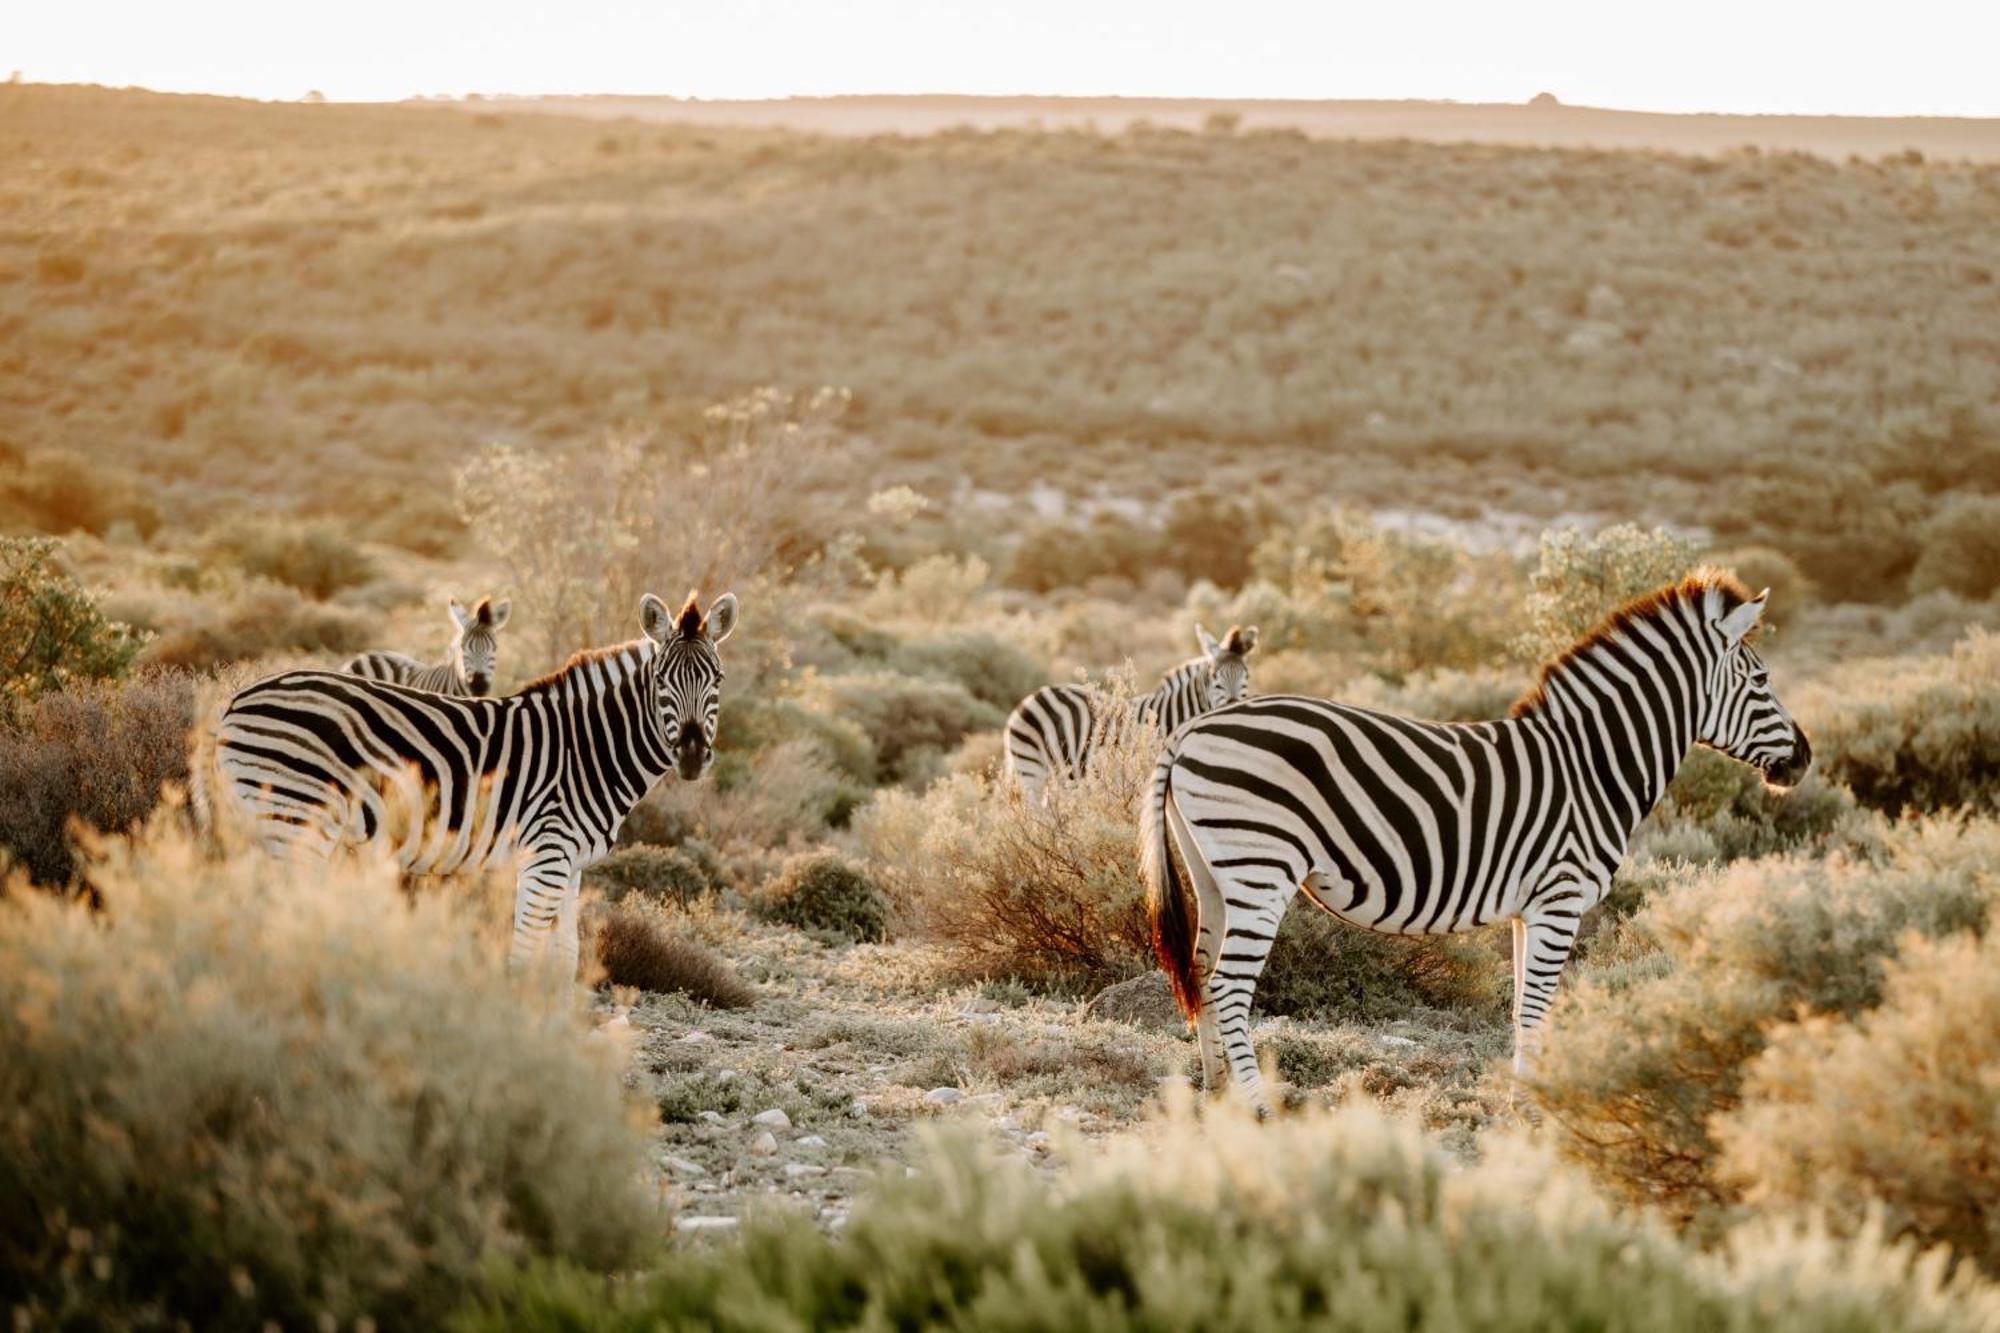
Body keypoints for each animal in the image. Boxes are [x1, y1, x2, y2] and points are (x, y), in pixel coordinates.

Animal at [1144, 572, 1816, 1112]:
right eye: (1761, 679)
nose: (1805, 759)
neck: (1593, 765)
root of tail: (1192, 730)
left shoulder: (1530, 908)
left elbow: (1522, 1007)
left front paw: (1528, 1099)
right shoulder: (1561, 897)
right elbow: (1538, 1007)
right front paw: (1533, 1112)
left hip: (1215, 872)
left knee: (1201, 972)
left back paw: (1217, 1092)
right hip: (1262, 865)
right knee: (1230, 986)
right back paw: (1259, 1105)